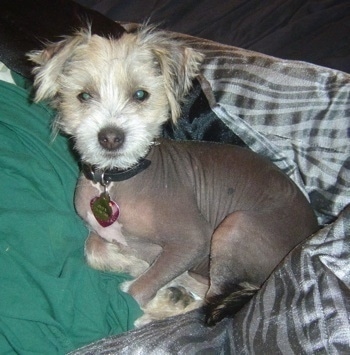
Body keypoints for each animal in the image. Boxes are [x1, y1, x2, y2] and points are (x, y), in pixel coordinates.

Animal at [28, 26, 318, 328]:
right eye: (83, 96)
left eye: (141, 94)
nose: (110, 138)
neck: (116, 180)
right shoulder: (102, 233)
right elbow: (94, 248)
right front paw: (138, 264)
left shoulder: (194, 241)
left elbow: (136, 291)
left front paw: (150, 293)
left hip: (236, 226)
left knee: (208, 300)